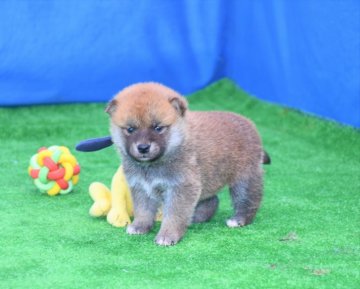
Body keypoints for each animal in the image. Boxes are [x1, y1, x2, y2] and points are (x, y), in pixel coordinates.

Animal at [106, 82, 268, 244]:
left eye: (158, 128)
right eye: (130, 129)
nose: (143, 147)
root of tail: (248, 123)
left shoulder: (181, 187)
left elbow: (173, 215)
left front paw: (167, 235)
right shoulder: (141, 187)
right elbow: (143, 211)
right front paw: (139, 226)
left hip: (245, 178)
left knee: (248, 200)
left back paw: (239, 219)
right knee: (212, 200)